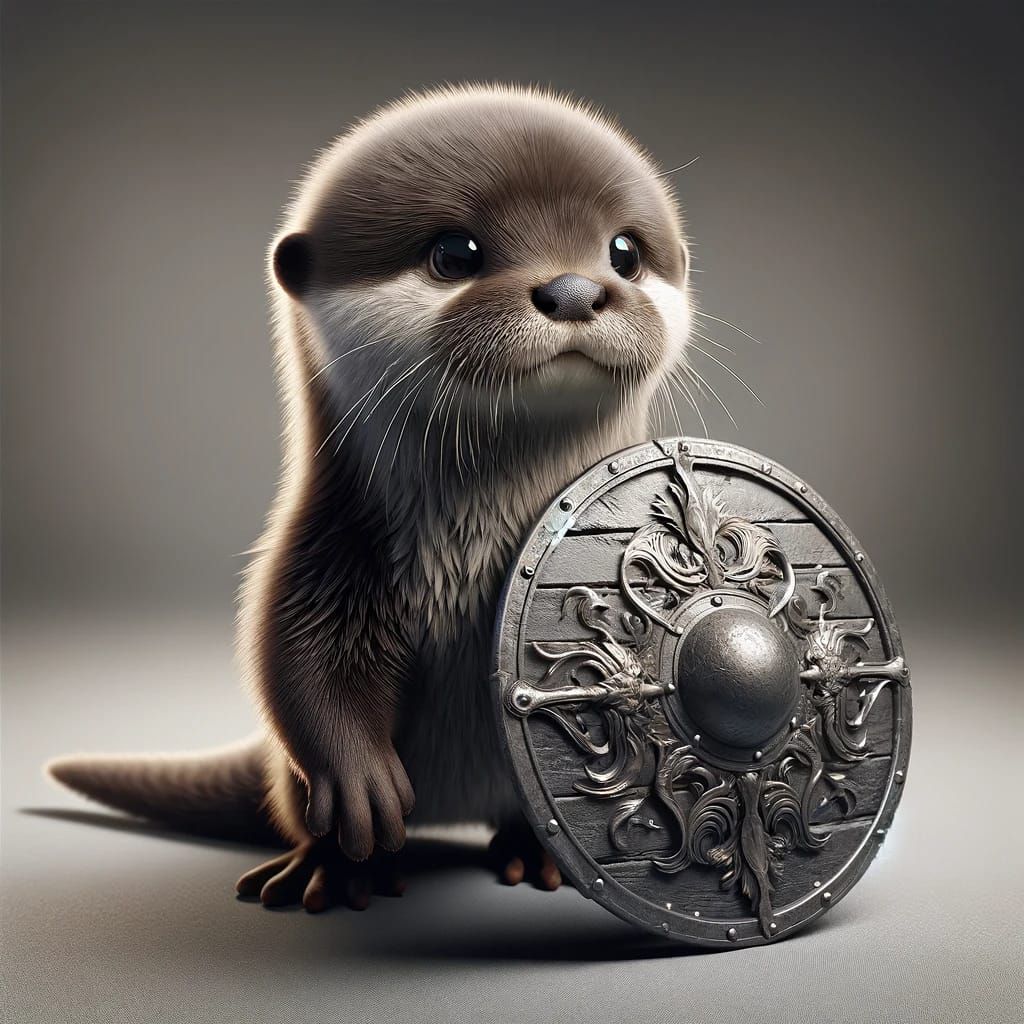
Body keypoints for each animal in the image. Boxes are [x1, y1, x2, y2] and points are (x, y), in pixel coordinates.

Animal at [48, 85, 692, 911]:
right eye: (455, 253)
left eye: (624, 252)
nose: (574, 288)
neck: (478, 546)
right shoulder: (327, 547)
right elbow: (295, 660)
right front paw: (360, 786)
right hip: (291, 782)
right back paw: (332, 870)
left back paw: (533, 853)